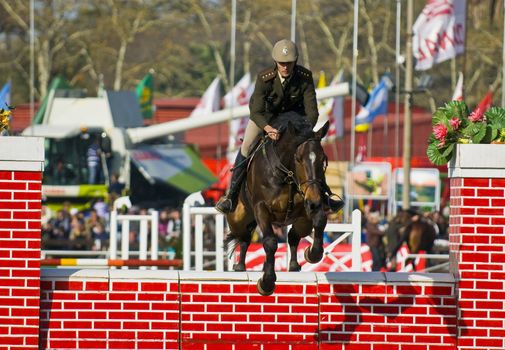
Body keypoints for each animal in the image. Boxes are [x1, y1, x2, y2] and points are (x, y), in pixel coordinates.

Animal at [224, 113, 330, 296]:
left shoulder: (308, 206)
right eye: (298, 159)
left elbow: (319, 220)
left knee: (294, 234)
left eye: (323, 160)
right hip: (237, 218)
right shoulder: (261, 208)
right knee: (243, 236)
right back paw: (240, 266)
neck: (286, 174)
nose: (314, 200)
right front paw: (266, 282)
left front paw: (312, 254)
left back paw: (293, 265)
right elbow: (270, 242)